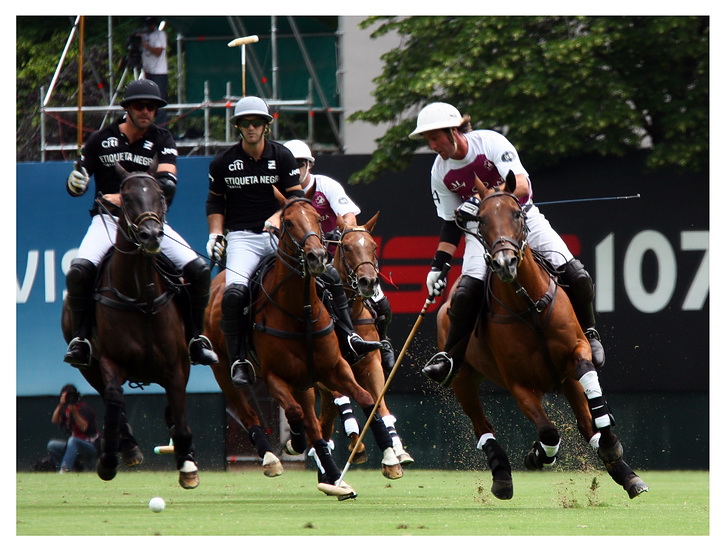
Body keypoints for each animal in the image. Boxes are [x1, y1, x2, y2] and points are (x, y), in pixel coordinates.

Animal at [61, 166, 199, 489]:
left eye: (159, 195)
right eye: (125, 197)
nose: (151, 235)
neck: (141, 296)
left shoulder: (177, 366)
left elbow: (180, 411)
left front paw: (187, 463)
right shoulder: (110, 362)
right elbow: (113, 401)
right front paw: (110, 459)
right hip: (87, 366)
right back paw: (127, 448)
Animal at [318, 213, 414, 467]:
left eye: (373, 247)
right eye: (347, 247)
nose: (368, 282)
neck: (349, 314)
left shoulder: (371, 364)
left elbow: (378, 404)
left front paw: (396, 452)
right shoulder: (332, 367)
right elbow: (344, 400)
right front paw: (357, 443)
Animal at [436, 171, 648, 501]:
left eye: (517, 213)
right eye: (480, 219)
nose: (505, 263)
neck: (530, 305)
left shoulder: (575, 353)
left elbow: (590, 384)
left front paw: (610, 441)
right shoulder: (519, 383)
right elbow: (548, 431)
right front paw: (537, 455)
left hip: (566, 379)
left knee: (587, 423)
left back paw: (626, 473)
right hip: (462, 378)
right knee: (482, 426)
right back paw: (502, 476)